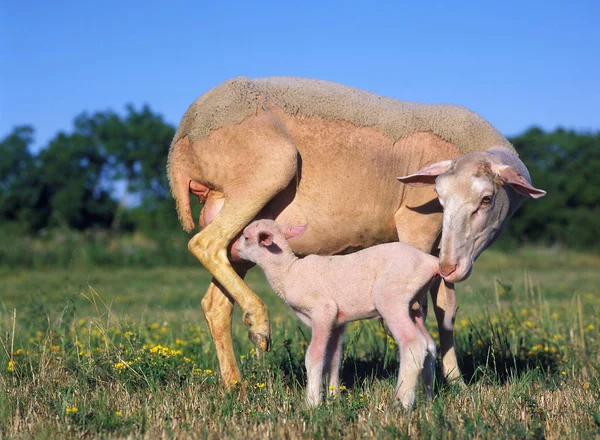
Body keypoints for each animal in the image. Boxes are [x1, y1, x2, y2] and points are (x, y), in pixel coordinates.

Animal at [234, 220, 454, 410]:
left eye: (246, 237)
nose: (233, 250)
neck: (287, 272)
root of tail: (430, 262)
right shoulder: (337, 322)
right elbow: (333, 359)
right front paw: (333, 397)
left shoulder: (323, 310)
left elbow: (314, 355)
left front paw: (312, 402)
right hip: (414, 304)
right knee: (429, 346)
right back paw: (427, 399)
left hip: (392, 297)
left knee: (414, 344)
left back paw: (402, 403)